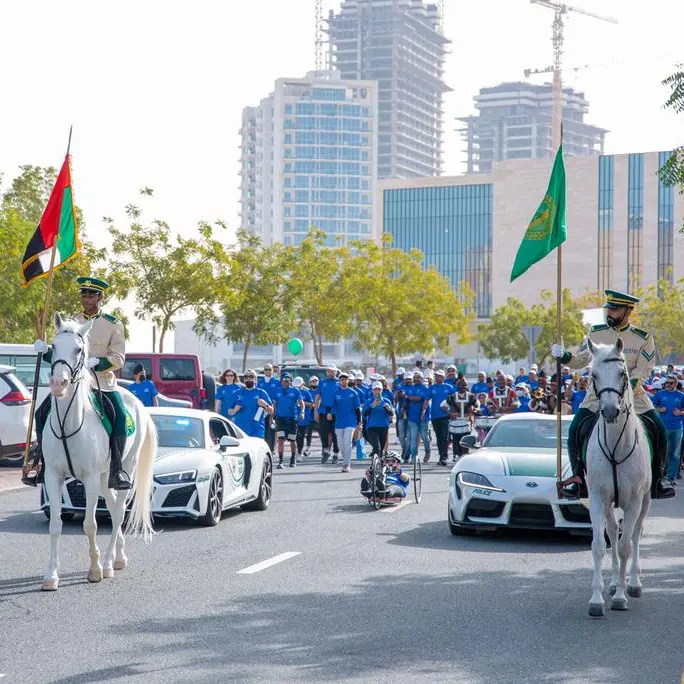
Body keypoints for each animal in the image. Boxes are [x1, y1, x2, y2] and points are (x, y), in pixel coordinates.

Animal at [41, 312, 156, 592]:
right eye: (53, 347)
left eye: (79, 349)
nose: (58, 384)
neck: (68, 423)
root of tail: (138, 402)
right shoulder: (53, 476)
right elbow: (55, 525)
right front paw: (51, 575)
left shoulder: (90, 479)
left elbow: (90, 525)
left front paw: (94, 569)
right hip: (106, 477)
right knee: (114, 509)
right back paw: (118, 557)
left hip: (125, 469)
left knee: (119, 511)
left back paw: (107, 563)